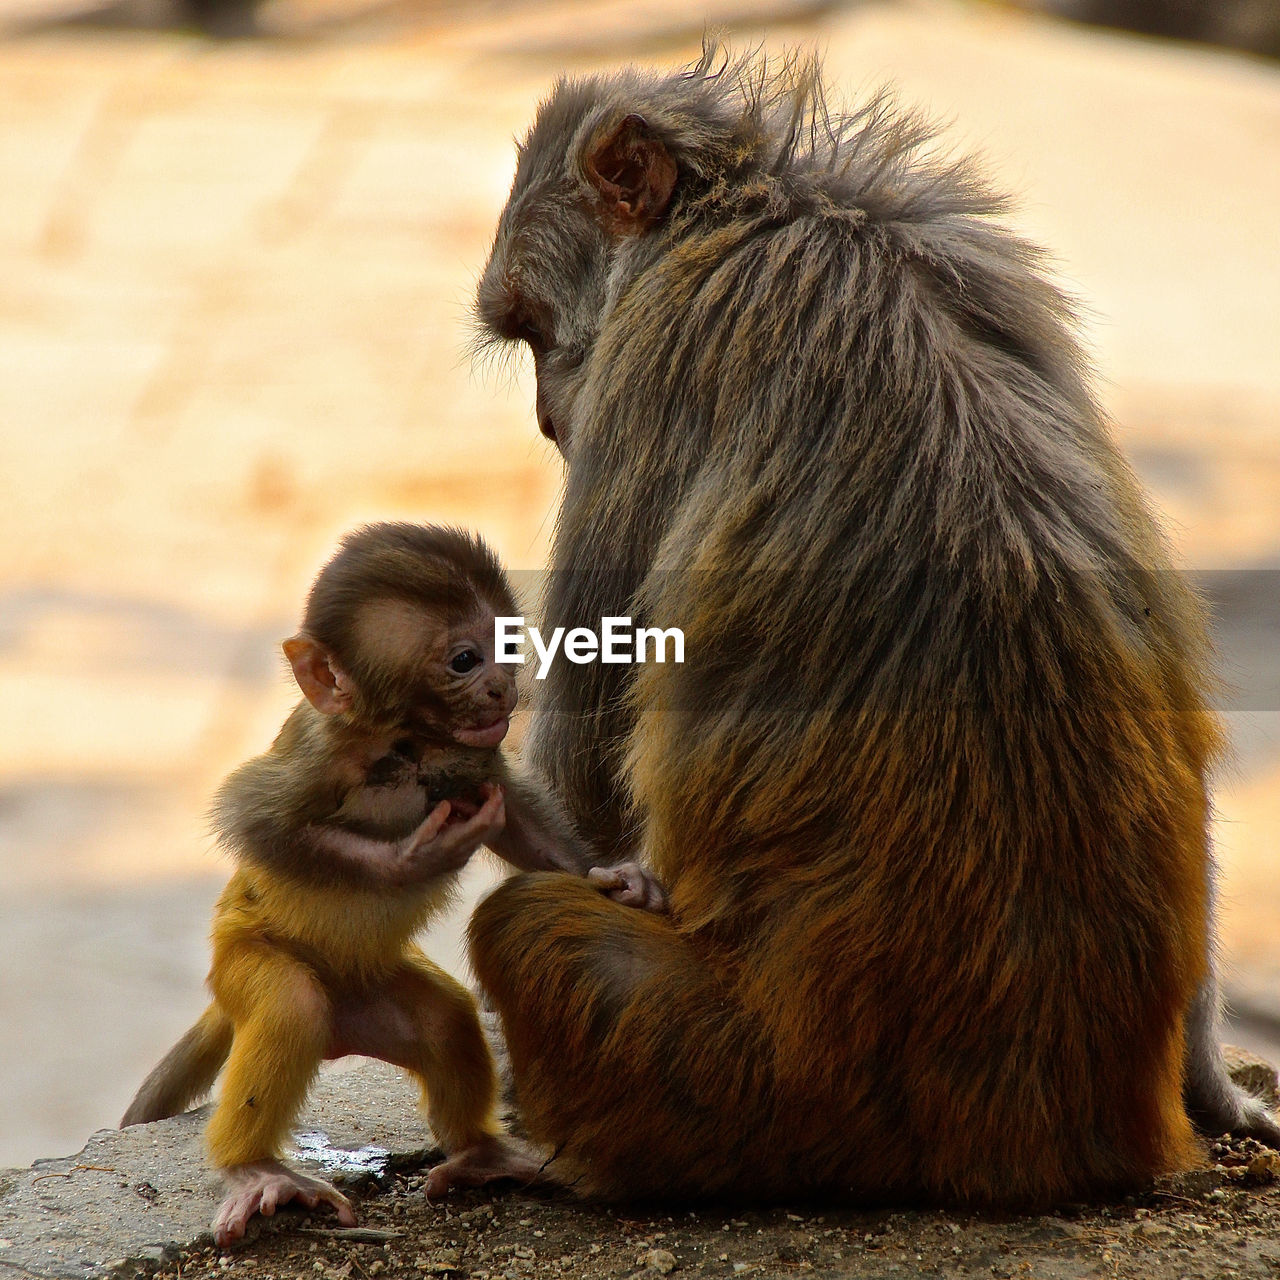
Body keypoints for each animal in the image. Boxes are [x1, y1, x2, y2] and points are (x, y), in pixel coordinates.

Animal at [122, 517, 660, 1239]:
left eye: (506, 644)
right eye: (464, 660)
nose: (503, 686)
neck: (409, 739)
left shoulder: (475, 751)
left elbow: (516, 818)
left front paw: (618, 880)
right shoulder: (321, 751)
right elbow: (255, 819)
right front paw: (411, 859)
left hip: (373, 999)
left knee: (445, 1021)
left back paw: (480, 1155)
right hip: (242, 957)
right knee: (291, 1007)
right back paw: (255, 1169)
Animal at [471, 42, 1280, 1198]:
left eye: (540, 331)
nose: (547, 416)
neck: (765, 209)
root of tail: (1044, 1120)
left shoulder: (651, 361)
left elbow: (585, 762)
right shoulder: (984, 262)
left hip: (749, 1079)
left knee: (526, 927)